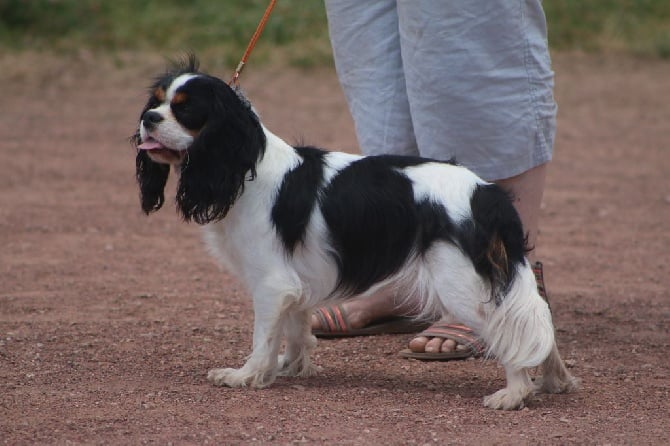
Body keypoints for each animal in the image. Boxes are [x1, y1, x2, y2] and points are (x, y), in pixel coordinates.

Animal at [134, 56, 580, 412]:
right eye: (155, 102)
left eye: (185, 110)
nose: (148, 119)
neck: (242, 166)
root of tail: (486, 193)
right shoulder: (294, 282)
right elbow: (295, 328)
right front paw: (290, 367)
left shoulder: (271, 283)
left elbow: (264, 336)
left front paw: (246, 375)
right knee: (535, 319)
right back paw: (553, 380)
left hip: (462, 284)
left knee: (507, 328)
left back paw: (514, 393)